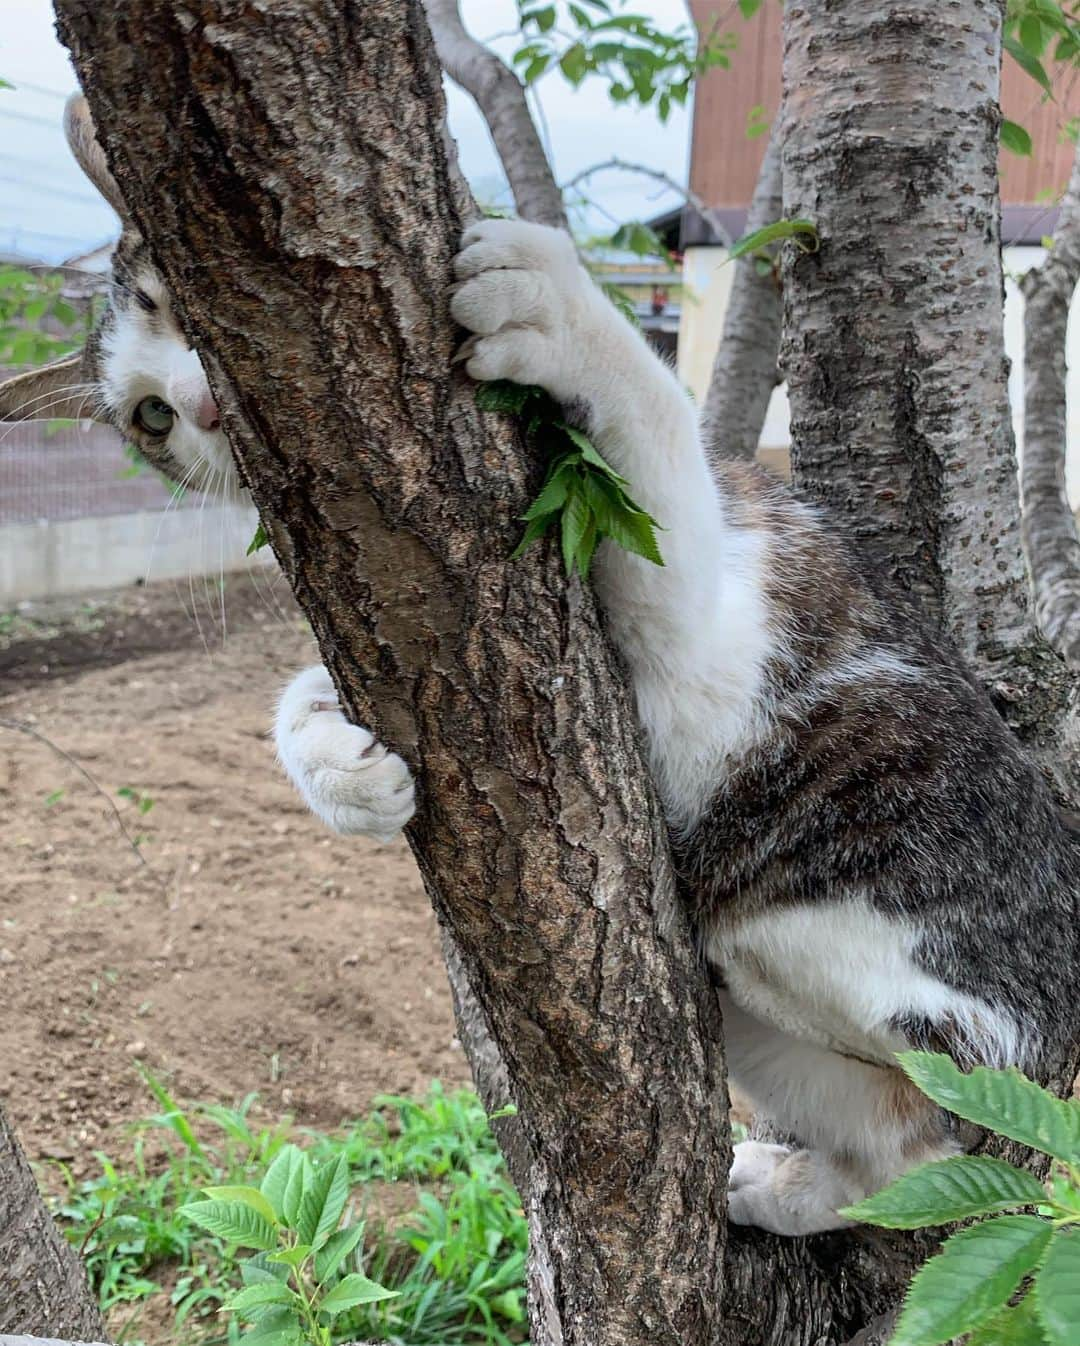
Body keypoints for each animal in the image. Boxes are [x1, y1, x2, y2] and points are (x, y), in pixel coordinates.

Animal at [4, 94, 1071, 1232]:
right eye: (149, 418)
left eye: (177, 303)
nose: (201, 408)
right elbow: (303, 693)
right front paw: (339, 770)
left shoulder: (708, 634)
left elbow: (656, 438)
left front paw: (561, 309)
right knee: (908, 1155)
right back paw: (791, 1182)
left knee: (934, 1082)